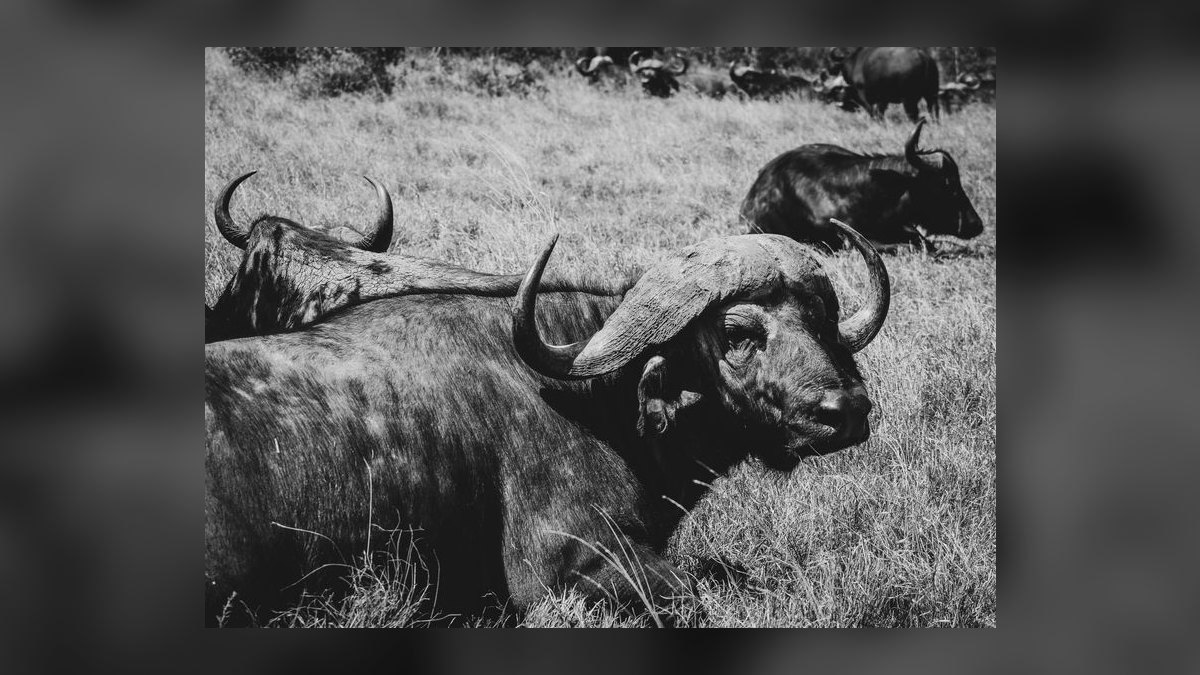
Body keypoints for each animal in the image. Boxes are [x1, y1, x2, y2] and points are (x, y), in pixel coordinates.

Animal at [205, 222, 890, 625]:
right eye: (739, 332)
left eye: (821, 319)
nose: (847, 411)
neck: (592, 399)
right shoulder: (565, 565)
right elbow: (703, 584)